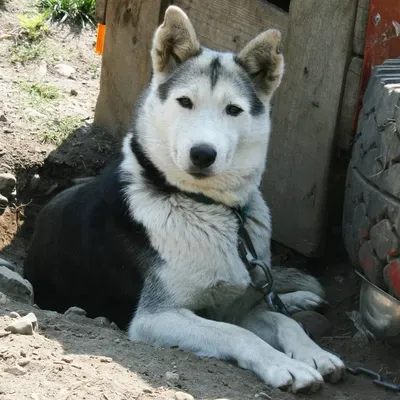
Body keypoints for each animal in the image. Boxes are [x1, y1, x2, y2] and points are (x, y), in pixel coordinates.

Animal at [24, 6, 344, 392]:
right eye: (185, 102)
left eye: (233, 110)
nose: (203, 154)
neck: (207, 207)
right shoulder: (156, 317)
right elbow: (236, 334)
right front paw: (285, 365)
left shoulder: (236, 307)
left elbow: (283, 323)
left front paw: (315, 353)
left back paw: (300, 298)